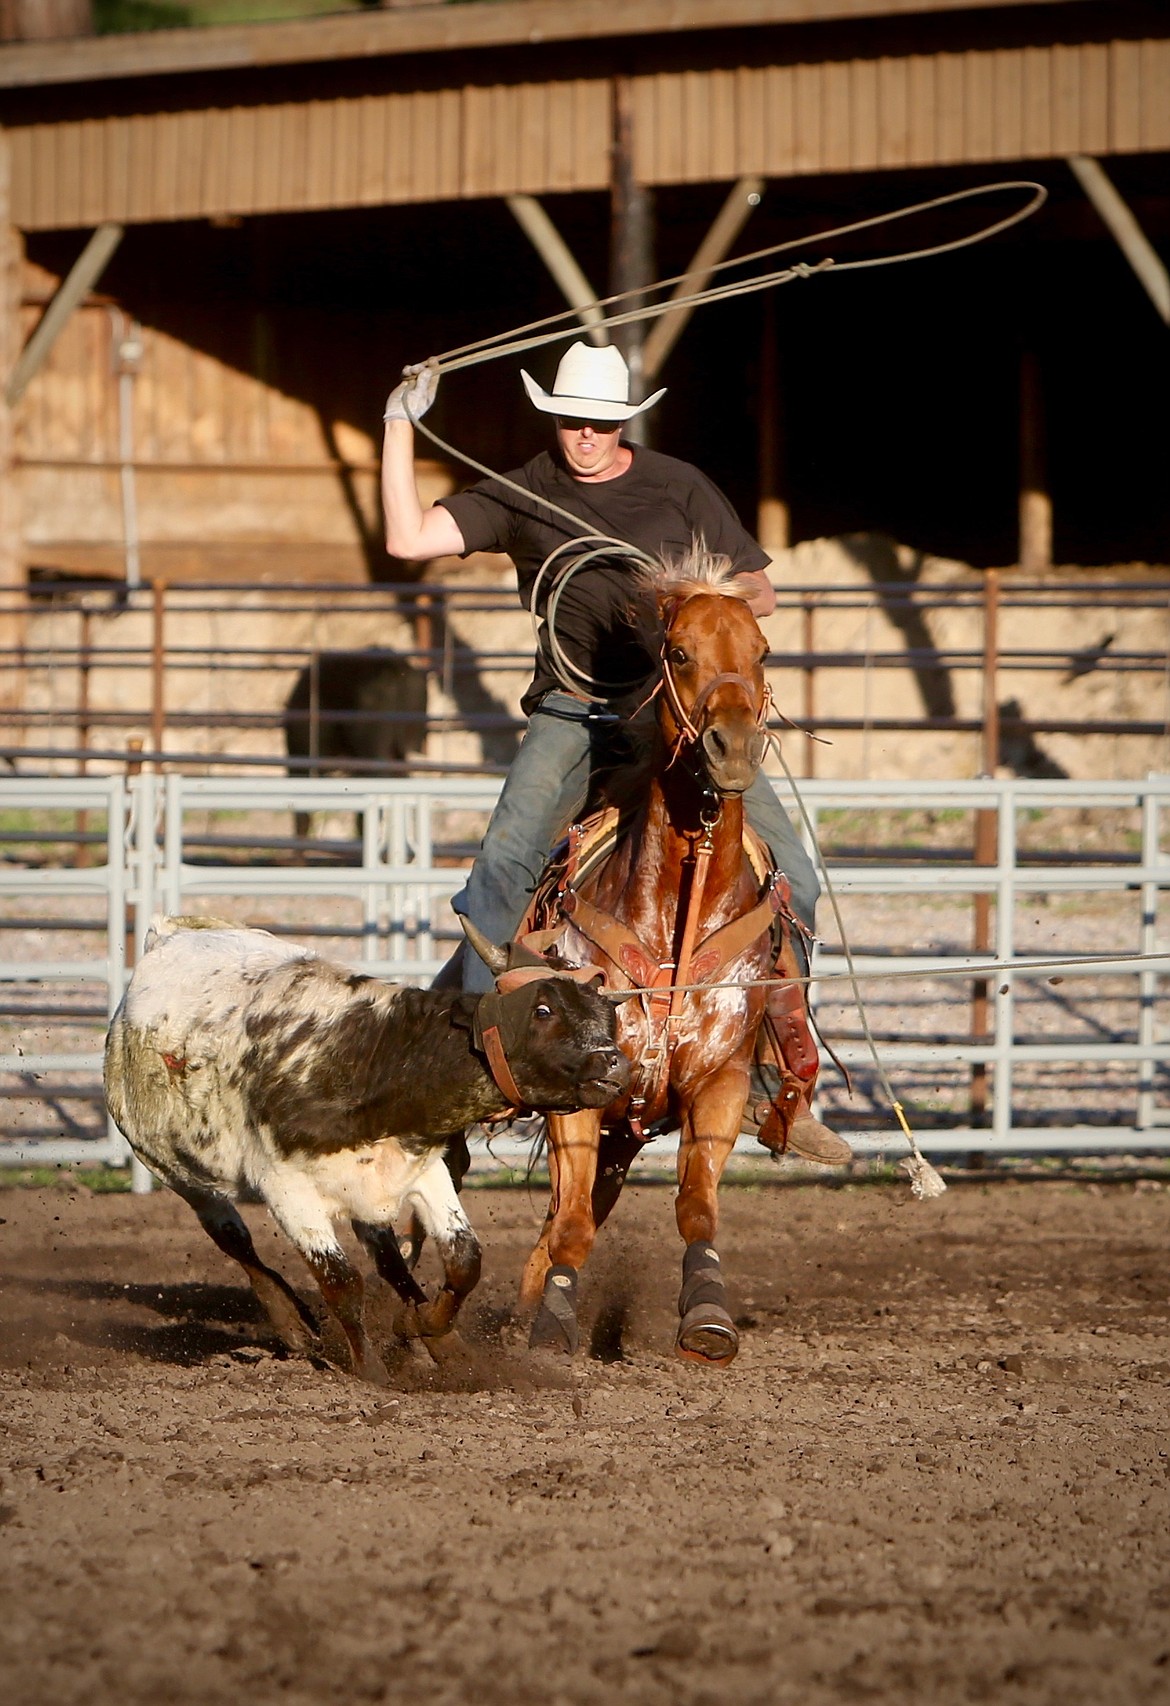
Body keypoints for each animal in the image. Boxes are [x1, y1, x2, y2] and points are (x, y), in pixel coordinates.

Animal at [521, 552, 805, 1364]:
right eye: (676, 653)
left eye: (762, 652)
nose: (733, 746)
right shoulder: (580, 1095)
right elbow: (573, 1226)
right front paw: (552, 1322)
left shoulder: (721, 1083)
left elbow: (696, 1208)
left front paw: (708, 1315)